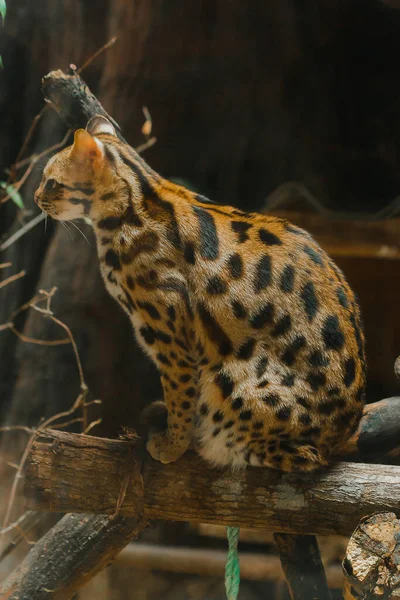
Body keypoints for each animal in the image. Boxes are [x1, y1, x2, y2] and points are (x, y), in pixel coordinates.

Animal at [34, 115, 366, 472]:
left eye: (51, 182)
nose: (37, 197)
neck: (134, 198)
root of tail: (340, 437)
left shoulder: (170, 334)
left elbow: (180, 391)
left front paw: (173, 444)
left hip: (231, 383)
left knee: (300, 456)